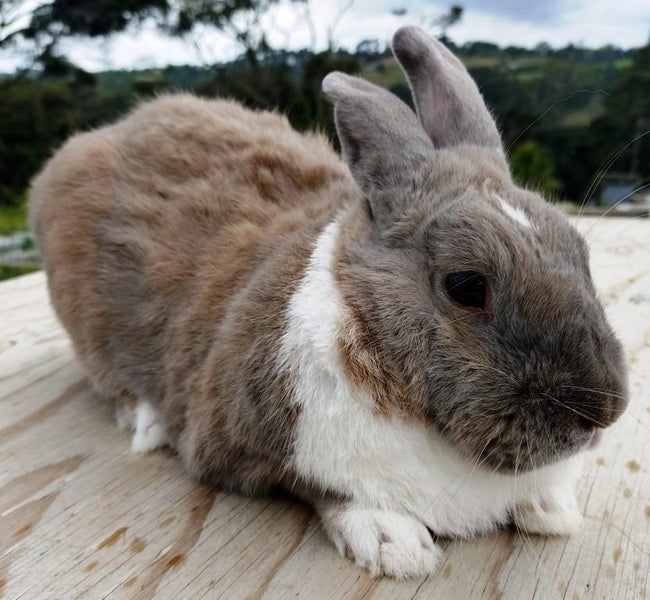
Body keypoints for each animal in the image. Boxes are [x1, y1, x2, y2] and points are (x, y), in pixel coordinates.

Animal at [29, 25, 628, 579]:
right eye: (466, 286)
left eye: (579, 251)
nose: (604, 412)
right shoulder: (241, 445)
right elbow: (324, 489)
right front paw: (395, 543)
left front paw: (551, 508)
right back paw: (147, 424)